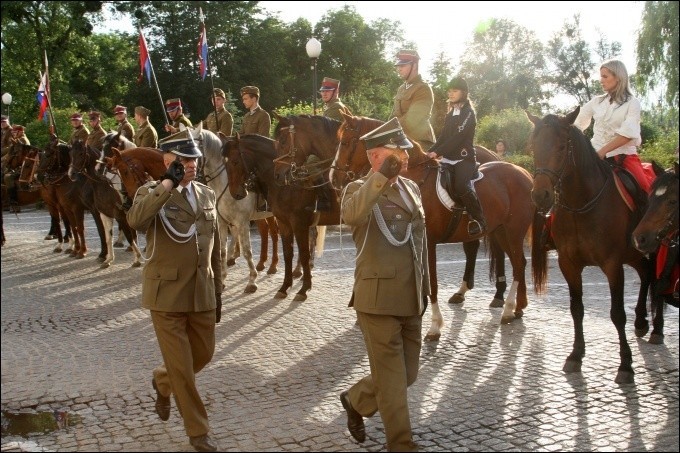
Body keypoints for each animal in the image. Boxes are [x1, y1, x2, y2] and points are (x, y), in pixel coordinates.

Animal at [330, 113, 540, 340]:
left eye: (345, 142)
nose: (333, 178)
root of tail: (524, 172)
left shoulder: (428, 241)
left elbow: (431, 284)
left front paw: (434, 326)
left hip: (513, 232)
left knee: (517, 264)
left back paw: (508, 308)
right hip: (500, 231)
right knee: (519, 263)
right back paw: (518, 307)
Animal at [524, 107, 652, 384]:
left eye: (562, 146)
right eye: (533, 146)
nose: (540, 195)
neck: (581, 205)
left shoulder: (613, 265)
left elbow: (617, 314)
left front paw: (625, 365)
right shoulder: (568, 264)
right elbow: (576, 309)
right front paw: (575, 355)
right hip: (634, 255)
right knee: (647, 274)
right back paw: (641, 321)